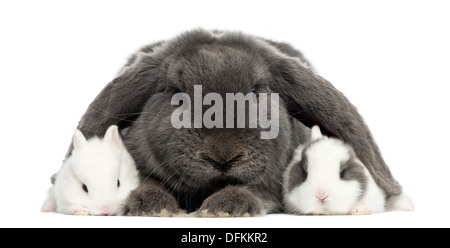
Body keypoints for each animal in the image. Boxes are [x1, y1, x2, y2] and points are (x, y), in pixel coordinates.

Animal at [61, 28, 402, 215]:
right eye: (175, 92)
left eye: (258, 89)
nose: (222, 157)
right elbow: (147, 181)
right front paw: (151, 204)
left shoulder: (272, 186)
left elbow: (253, 190)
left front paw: (225, 207)